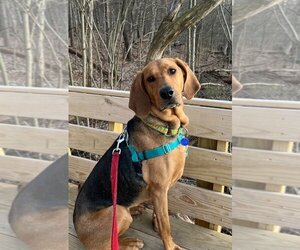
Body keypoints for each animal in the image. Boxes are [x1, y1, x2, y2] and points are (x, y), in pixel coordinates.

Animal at [73, 57, 200, 250]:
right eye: (150, 79)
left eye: (172, 70)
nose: (167, 93)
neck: (163, 126)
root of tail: (75, 225)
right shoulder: (159, 189)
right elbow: (166, 225)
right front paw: (170, 245)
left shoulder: (159, 192)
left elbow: (159, 216)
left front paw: (156, 225)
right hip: (119, 213)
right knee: (108, 245)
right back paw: (129, 242)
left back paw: (135, 208)